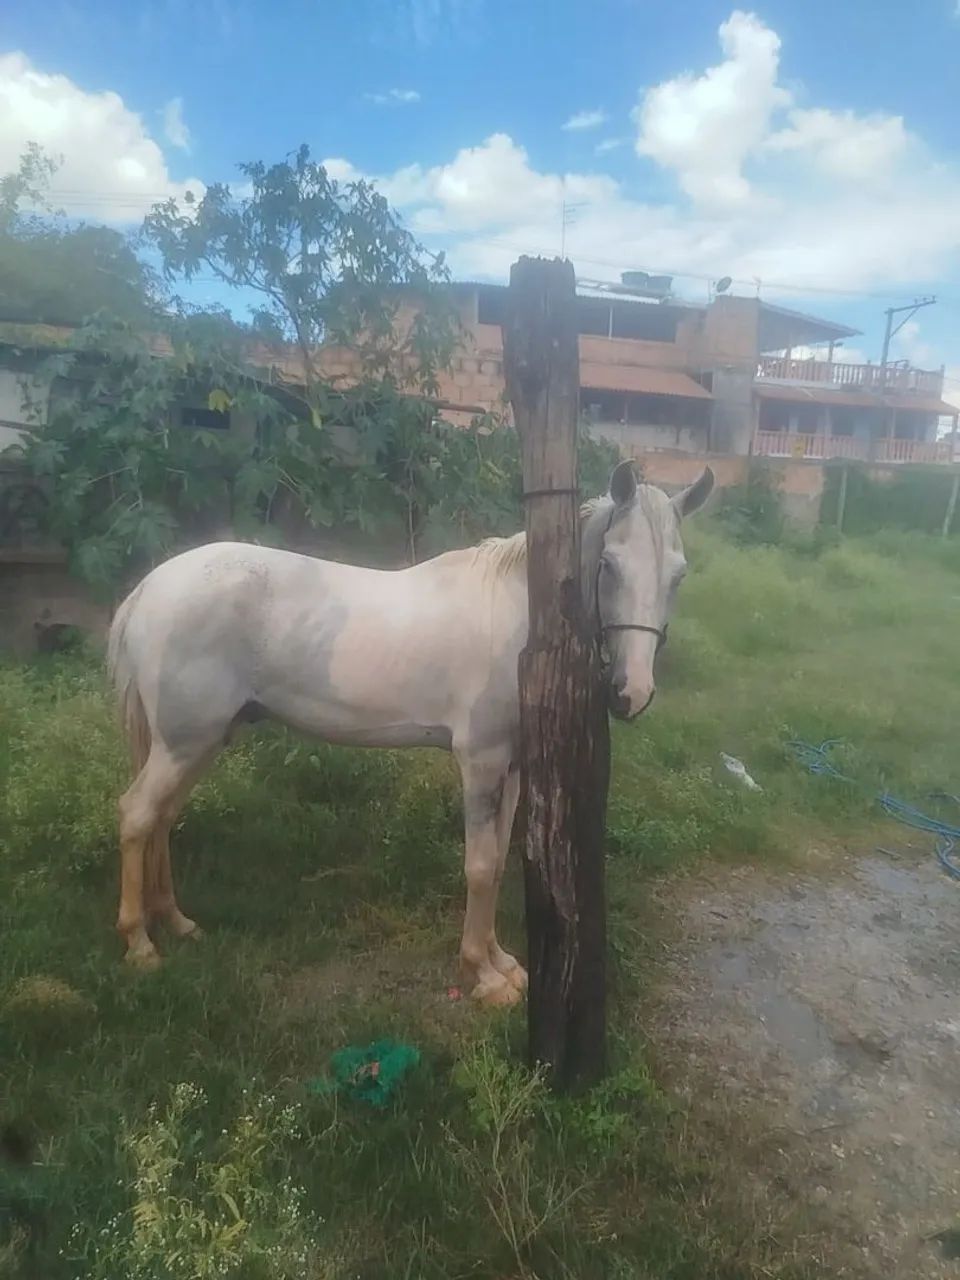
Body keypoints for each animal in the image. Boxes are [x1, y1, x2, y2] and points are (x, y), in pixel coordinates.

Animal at [108, 460, 713, 1005]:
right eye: (609, 564)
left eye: (678, 575)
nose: (629, 692)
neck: (521, 622)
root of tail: (149, 588)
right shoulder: (480, 762)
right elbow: (480, 866)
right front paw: (483, 976)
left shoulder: (513, 766)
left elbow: (497, 862)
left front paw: (502, 963)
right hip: (183, 744)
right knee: (137, 816)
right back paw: (140, 944)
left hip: (197, 743)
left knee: (162, 818)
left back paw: (176, 922)